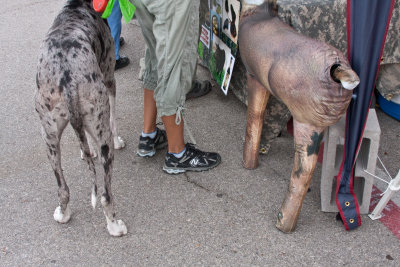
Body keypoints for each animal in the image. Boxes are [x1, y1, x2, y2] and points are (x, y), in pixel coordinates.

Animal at [36, 0, 127, 239]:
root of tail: (66, 77)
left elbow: (84, 137)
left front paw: (87, 150)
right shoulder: (109, 78)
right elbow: (113, 118)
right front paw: (117, 141)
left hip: (48, 137)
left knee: (62, 188)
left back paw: (63, 214)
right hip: (103, 134)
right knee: (105, 195)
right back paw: (114, 226)